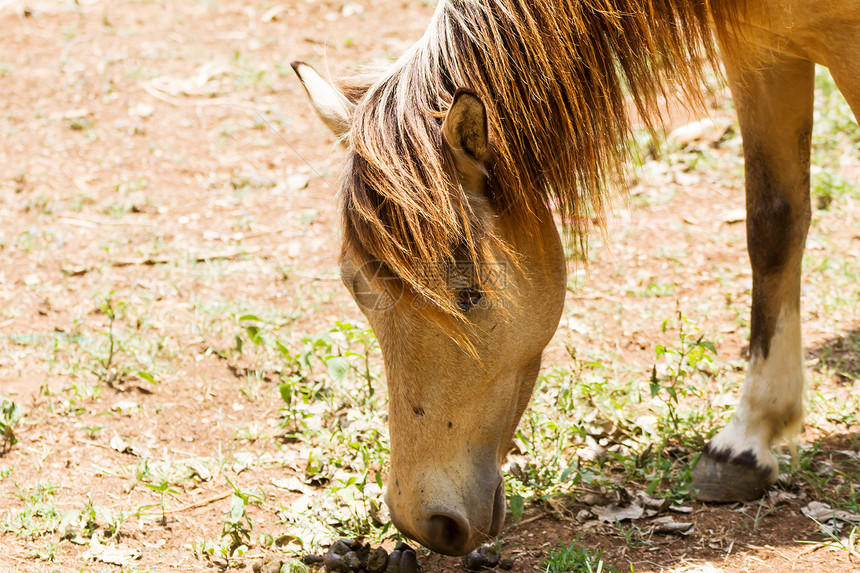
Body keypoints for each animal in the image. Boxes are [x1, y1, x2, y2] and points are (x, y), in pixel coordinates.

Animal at [292, 0, 856, 556]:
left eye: (469, 295)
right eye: (355, 287)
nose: (427, 522)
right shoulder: (759, 46)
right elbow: (773, 224)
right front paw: (749, 439)